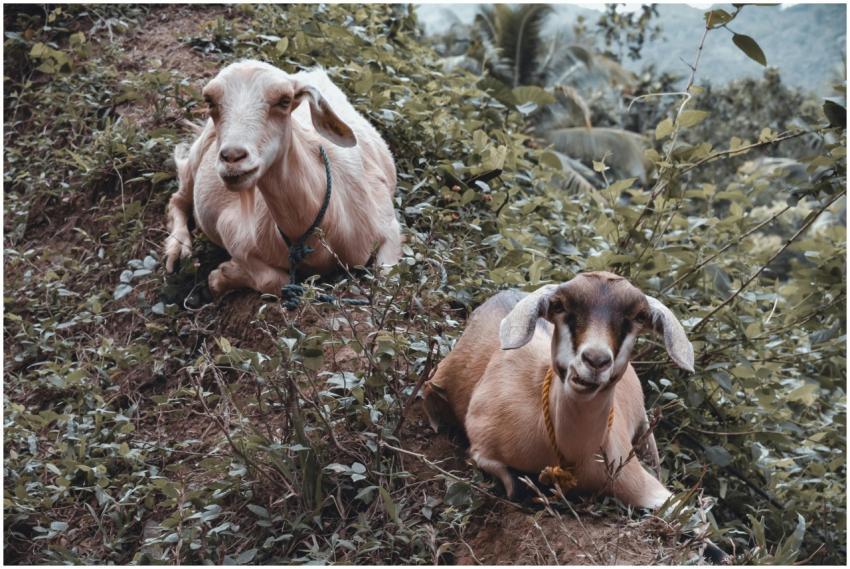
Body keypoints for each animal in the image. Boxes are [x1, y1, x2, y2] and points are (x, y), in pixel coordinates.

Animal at [164, 60, 402, 296]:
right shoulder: (232, 232)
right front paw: (222, 277)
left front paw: (223, 276)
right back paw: (177, 249)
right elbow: (277, 281)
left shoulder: (388, 225)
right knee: (178, 199)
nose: (232, 157)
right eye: (209, 101)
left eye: (284, 101)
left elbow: (386, 281)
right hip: (197, 157)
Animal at [423, 271, 693, 508]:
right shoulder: (482, 441)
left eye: (638, 317)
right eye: (560, 306)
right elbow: (512, 485)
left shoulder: (642, 484)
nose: (595, 360)